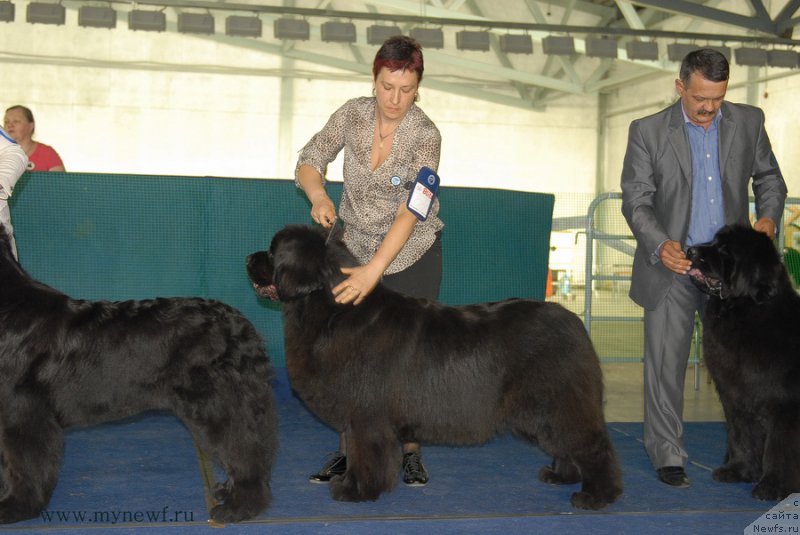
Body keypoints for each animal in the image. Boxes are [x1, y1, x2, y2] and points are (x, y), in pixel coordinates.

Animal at [0, 228, 278, 524]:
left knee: (243, 450)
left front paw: (16, 506)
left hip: (217, 402)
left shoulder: (23, 413)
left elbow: (24, 464)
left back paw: (239, 507)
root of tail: (243, 327)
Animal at [247, 224, 620, 508]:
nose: (249, 258)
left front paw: (355, 491)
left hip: (559, 403)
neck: (332, 308)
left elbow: (364, 454)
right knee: (566, 444)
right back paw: (561, 476)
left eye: (273, 252)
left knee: (593, 445)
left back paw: (597, 496)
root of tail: (574, 322)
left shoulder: (366, 414)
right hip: (543, 411)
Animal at [688, 224, 800, 500]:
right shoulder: (736, 397)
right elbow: (742, 436)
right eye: (714, 241)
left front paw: (772, 487)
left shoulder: (785, 406)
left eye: (726, 251)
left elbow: (779, 448)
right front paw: (738, 470)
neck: (743, 312)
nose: (690, 250)